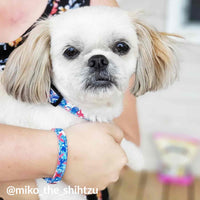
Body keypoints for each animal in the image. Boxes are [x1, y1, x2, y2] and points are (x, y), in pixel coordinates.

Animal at [0, 6, 178, 200]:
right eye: (70, 51)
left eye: (121, 46)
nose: (98, 60)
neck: (72, 107)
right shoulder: (57, 190)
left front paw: (134, 154)